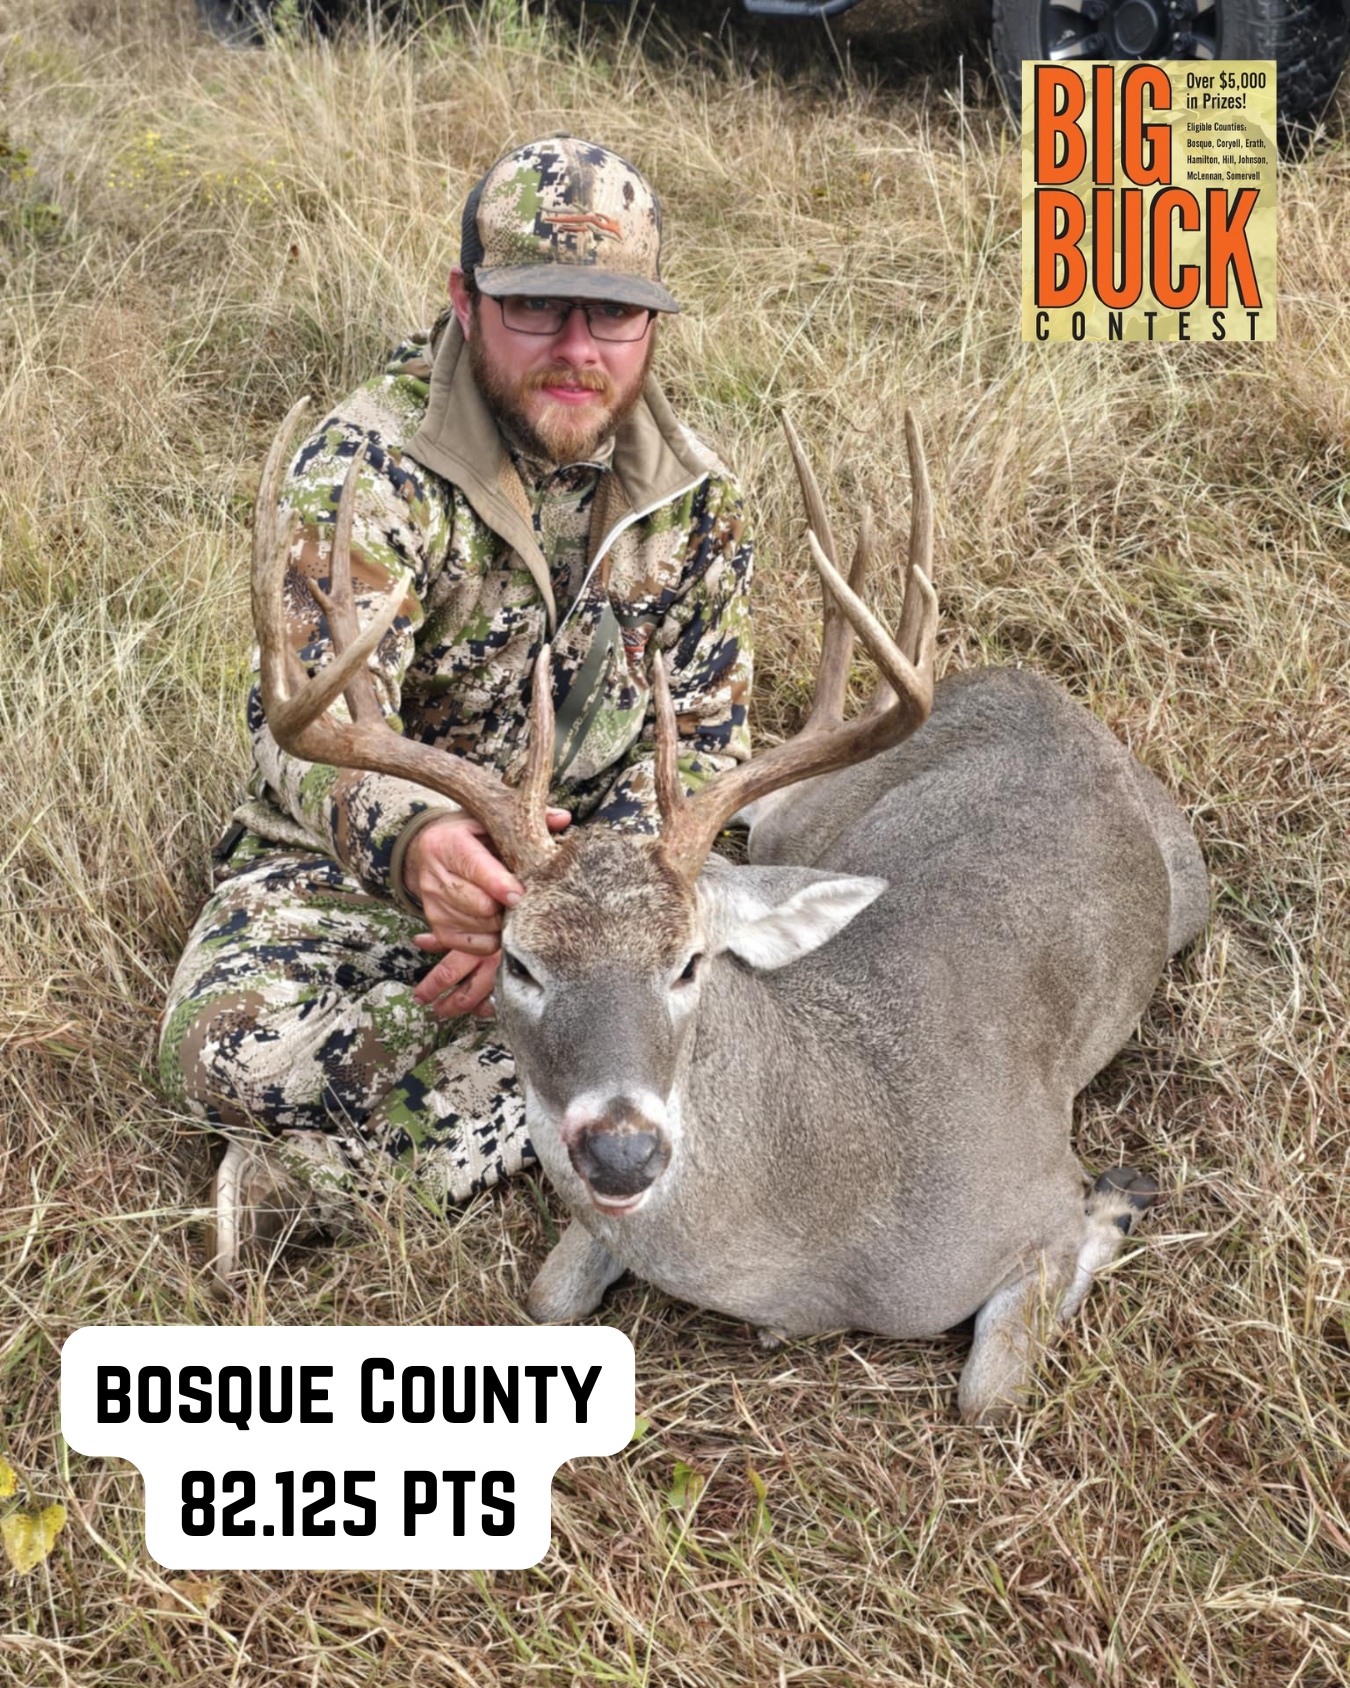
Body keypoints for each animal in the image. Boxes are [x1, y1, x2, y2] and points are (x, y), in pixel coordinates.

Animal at [251, 402, 1208, 1422]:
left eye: (688, 963)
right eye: (520, 963)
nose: (622, 1155)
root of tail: (1037, 686)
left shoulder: (1032, 1196)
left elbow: (989, 1392)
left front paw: (1118, 1197)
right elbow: (547, 1298)